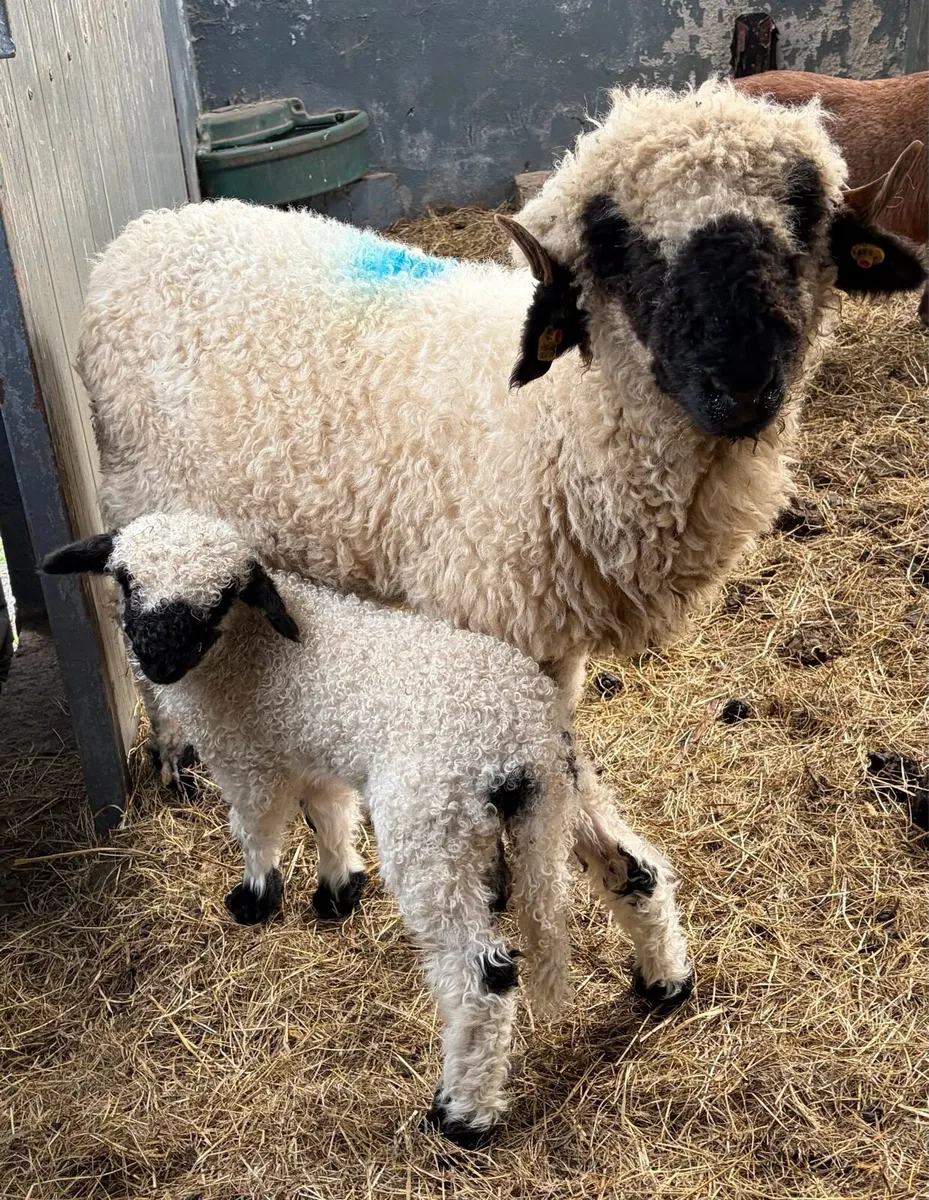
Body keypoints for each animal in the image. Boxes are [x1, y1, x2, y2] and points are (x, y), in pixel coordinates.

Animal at [42, 509, 583, 1147]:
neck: (245, 652)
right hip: (539, 823)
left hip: (429, 833)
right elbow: (329, 813)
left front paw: (255, 898)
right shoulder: (313, 750)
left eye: (220, 599)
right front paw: (339, 888)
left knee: (484, 980)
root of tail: (518, 742)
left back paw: (462, 1115)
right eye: (125, 580)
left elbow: (256, 827)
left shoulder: (247, 758)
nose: (158, 663)